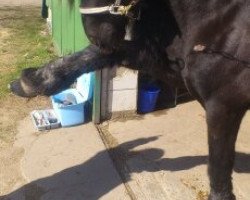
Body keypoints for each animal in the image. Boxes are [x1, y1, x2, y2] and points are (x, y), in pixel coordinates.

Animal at [10, 0, 250, 200]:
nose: (95, 35)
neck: (220, 23)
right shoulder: (171, 69)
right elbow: (100, 55)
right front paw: (32, 81)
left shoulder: (222, 108)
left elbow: (219, 169)